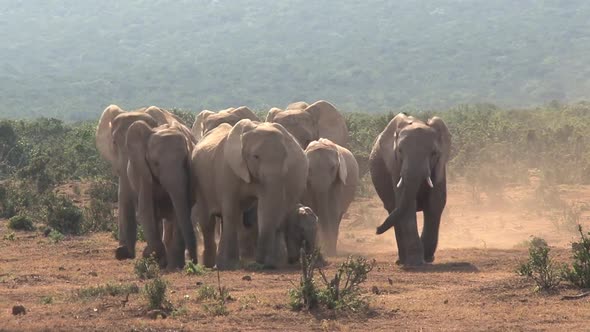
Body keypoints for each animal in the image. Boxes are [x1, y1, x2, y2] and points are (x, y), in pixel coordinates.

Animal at [96, 104, 198, 270]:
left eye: (185, 161)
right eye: (114, 142)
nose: (194, 262)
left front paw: (156, 257)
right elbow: (144, 205)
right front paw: (128, 253)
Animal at [192, 119, 310, 270]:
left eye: (285, 157)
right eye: (255, 156)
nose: (260, 262)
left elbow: (265, 209)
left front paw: (272, 263)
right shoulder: (227, 170)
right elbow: (231, 211)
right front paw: (230, 265)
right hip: (200, 184)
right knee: (208, 221)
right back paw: (211, 265)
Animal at [370, 113, 454, 266]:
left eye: (433, 153)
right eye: (400, 151)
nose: (377, 229)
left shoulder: (440, 167)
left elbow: (435, 203)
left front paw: (427, 258)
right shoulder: (395, 167)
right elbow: (408, 206)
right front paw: (416, 262)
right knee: (394, 210)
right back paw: (402, 261)